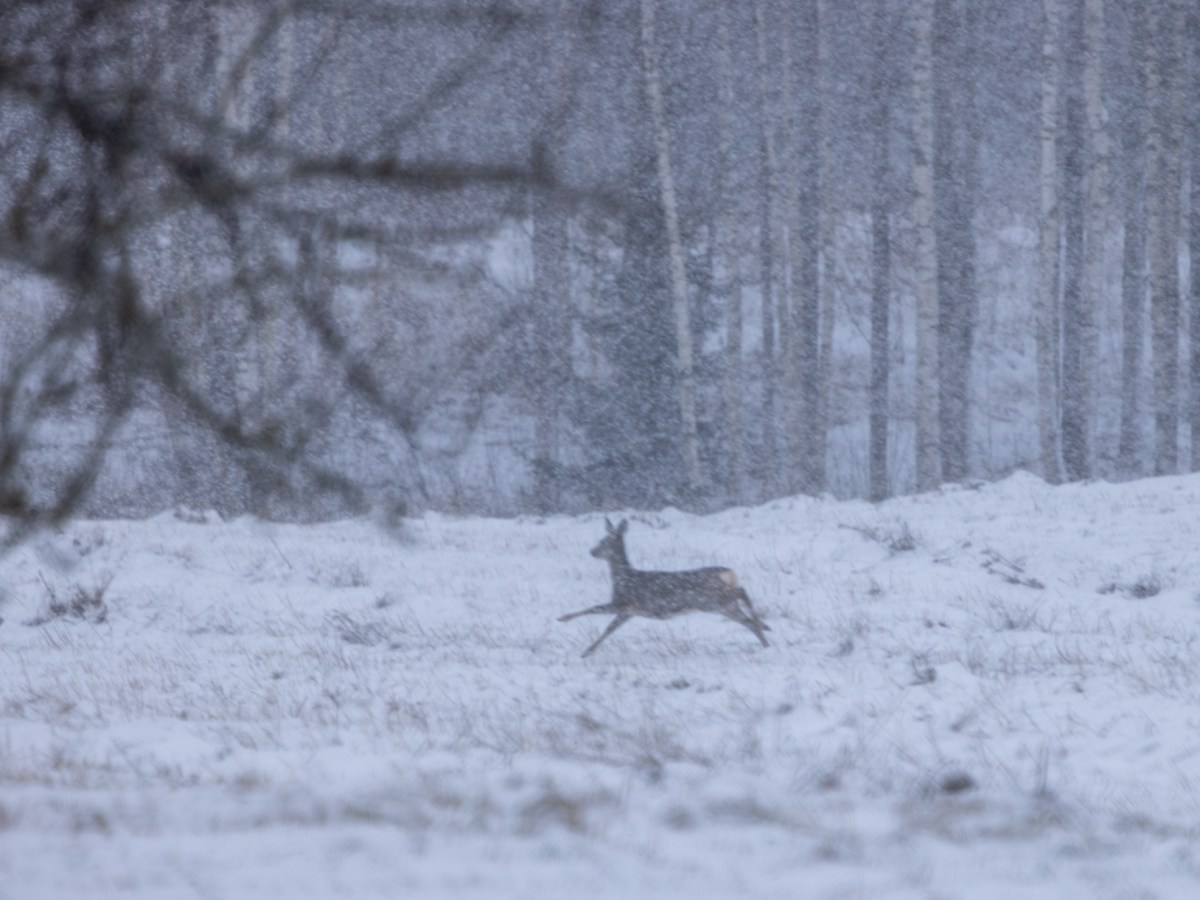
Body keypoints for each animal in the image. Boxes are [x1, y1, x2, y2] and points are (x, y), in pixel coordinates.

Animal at [558, 518, 770, 657]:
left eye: (603, 541)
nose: (592, 552)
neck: (623, 579)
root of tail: (728, 572)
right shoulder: (628, 611)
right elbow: (609, 629)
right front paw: (587, 651)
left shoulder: (624, 603)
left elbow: (594, 609)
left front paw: (564, 619)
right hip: (720, 605)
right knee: (746, 616)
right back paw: (765, 638)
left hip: (711, 601)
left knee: (742, 596)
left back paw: (764, 630)